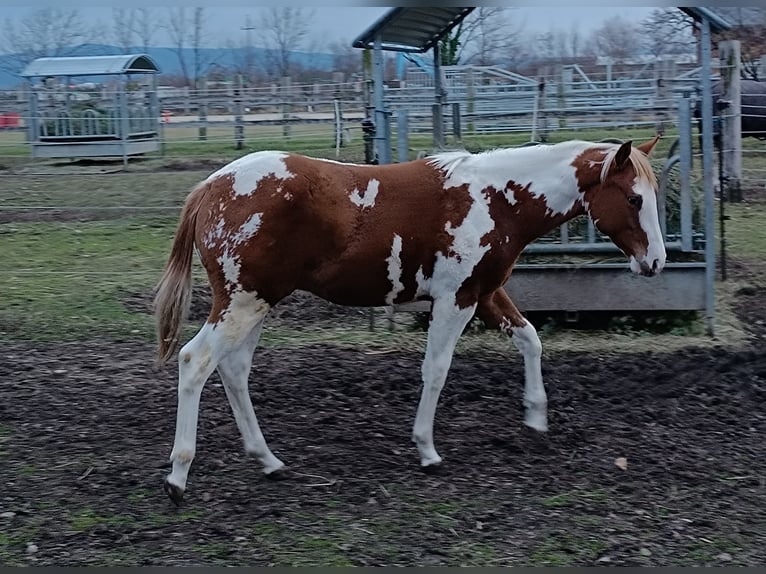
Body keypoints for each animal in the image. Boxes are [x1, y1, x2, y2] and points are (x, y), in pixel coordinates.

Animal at [154, 136, 665, 505]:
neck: (497, 199)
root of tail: (210, 188)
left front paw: (536, 420)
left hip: (255, 303)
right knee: (195, 361)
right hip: (241, 303)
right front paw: (427, 450)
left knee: (234, 369)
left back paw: (268, 460)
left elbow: (530, 339)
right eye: (634, 200)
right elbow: (436, 370)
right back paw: (178, 476)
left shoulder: (485, 293)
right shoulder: (455, 299)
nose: (656, 262)